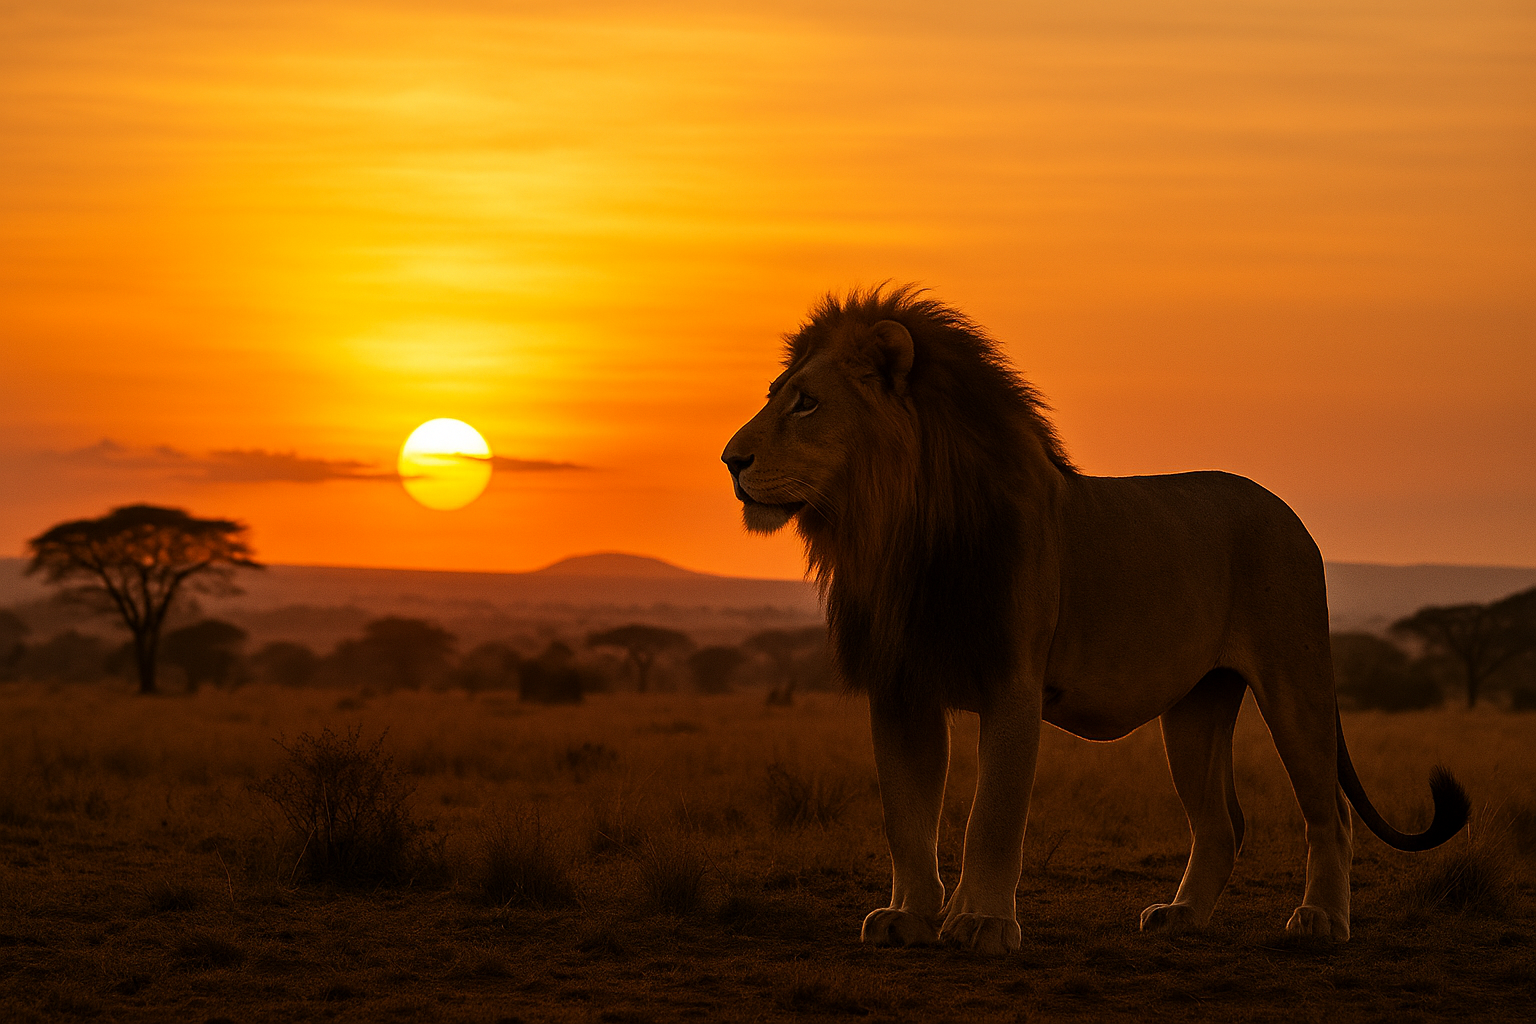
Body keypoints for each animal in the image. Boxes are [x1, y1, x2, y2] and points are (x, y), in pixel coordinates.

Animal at [721, 286, 1469, 954]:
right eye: (775, 393)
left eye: (806, 402)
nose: (730, 460)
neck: (895, 530)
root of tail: (1289, 515)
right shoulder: (902, 688)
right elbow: (905, 817)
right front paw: (908, 918)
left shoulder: (1013, 685)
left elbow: (992, 817)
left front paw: (981, 925)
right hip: (1197, 705)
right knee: (1221, 822)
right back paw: (1183, 917)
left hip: (1296, 682)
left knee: (1330, 813)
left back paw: (1321, 921)